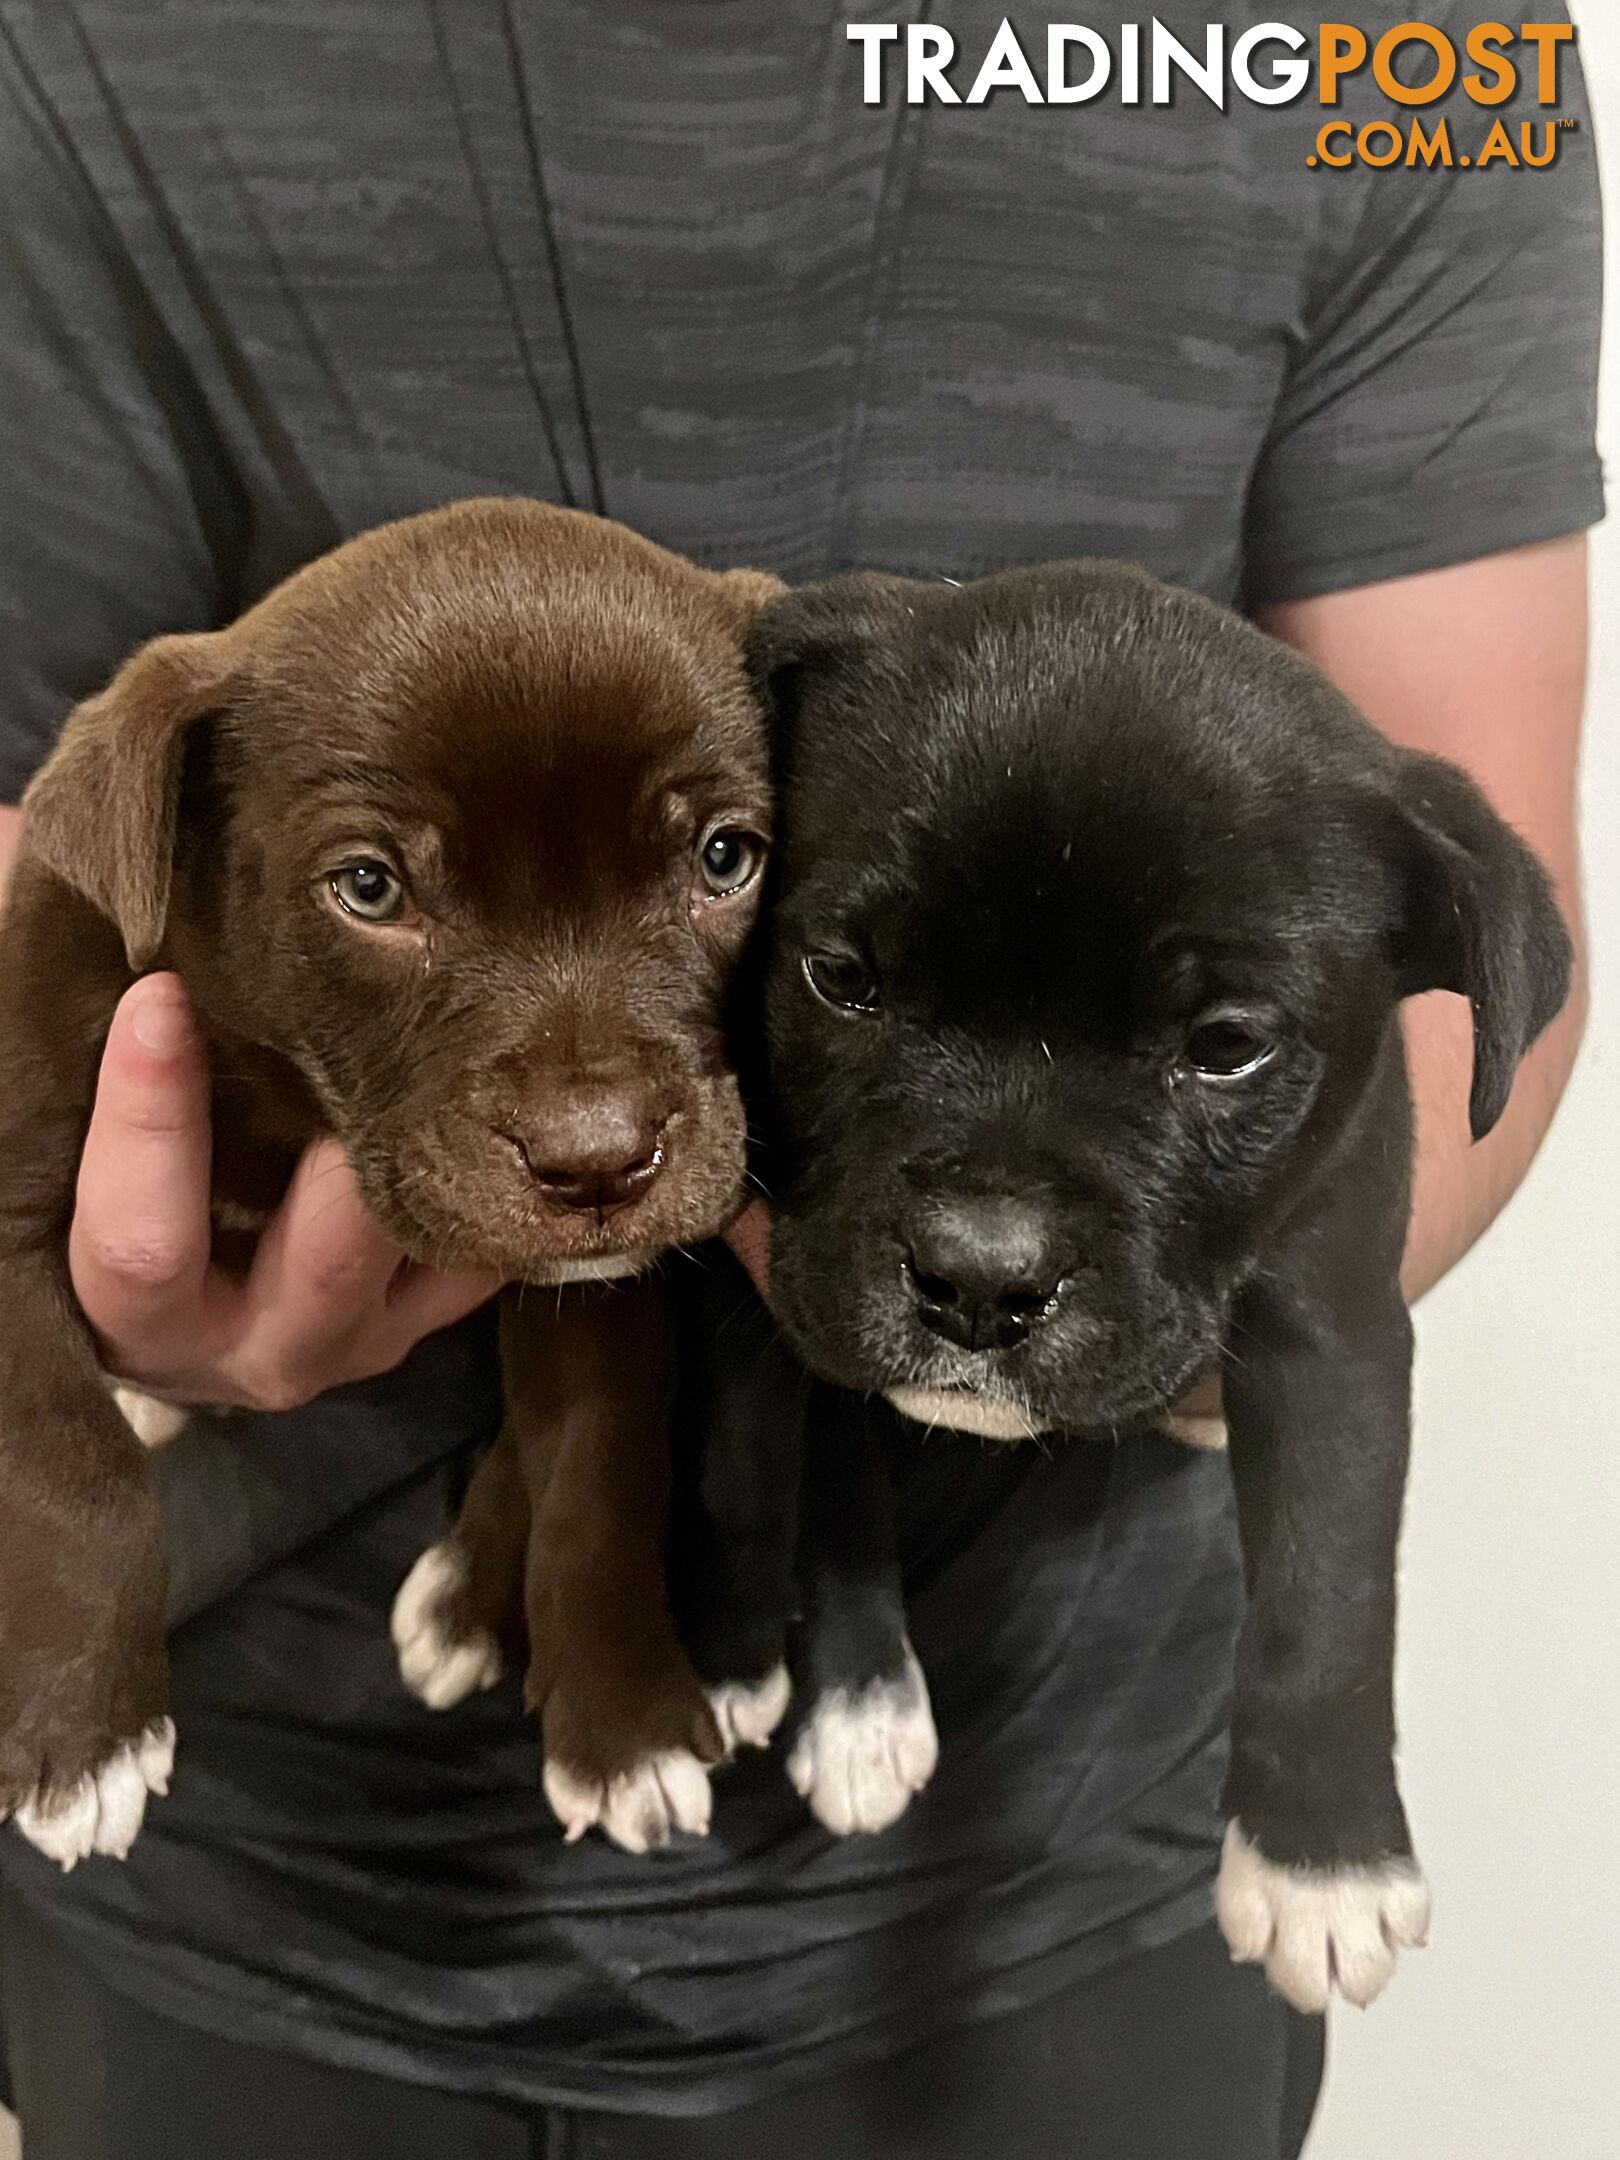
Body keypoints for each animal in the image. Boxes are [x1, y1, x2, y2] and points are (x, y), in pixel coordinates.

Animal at [0, 496, 781, 1866]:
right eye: (370, 887)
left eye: (727, 858)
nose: (598, 1158)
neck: (283, 1092)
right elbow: (63, 1459)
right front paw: (84, 1729)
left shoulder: (600, 1286)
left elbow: (597, 1469)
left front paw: (623, 1722)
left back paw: (471, 1597)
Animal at [747, 557, 1572, 2004]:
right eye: (840, 977)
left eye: (1229, 1048)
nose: (981, 1276)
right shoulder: (806, 1268)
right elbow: (833, 1442)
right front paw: (856, 1696)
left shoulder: (1336, 1321)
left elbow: (1330, 1575)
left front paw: (1322, 1861)